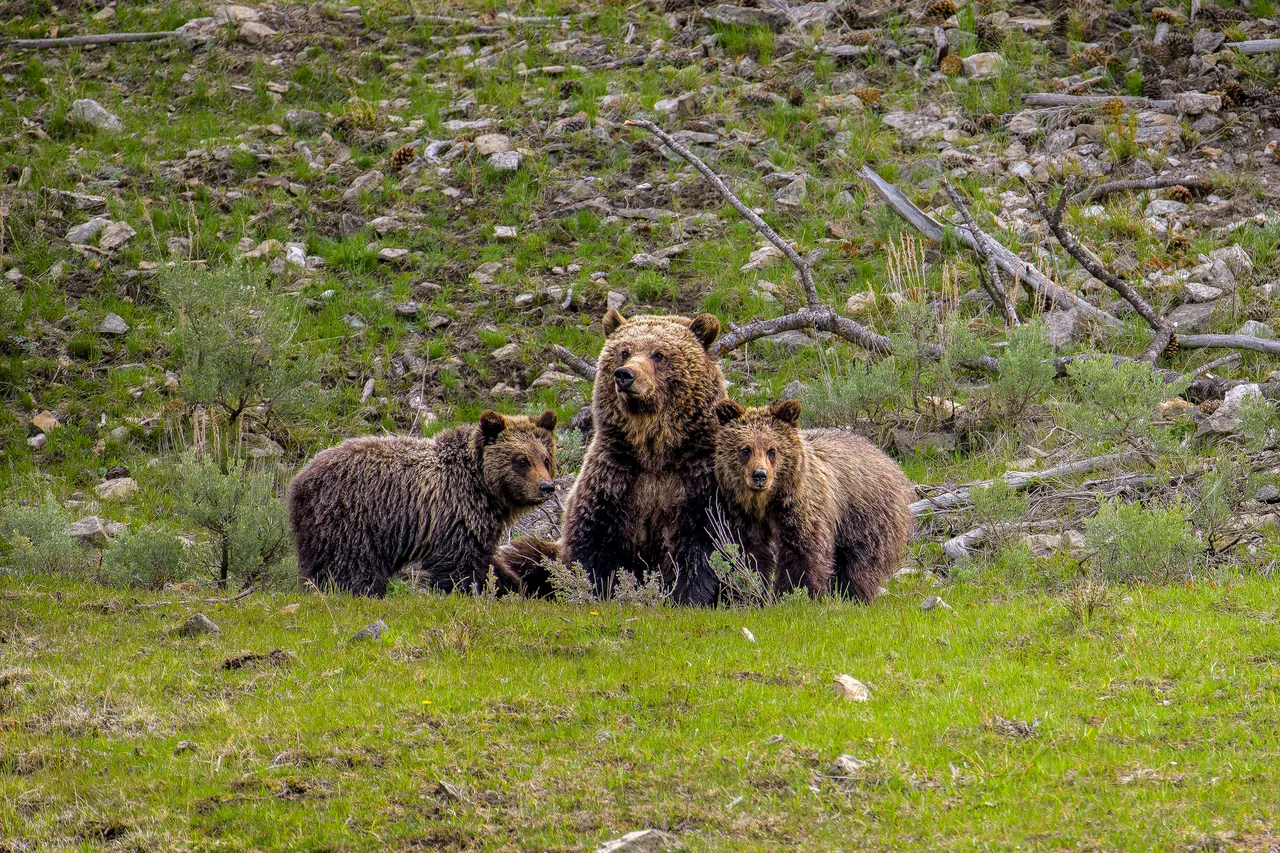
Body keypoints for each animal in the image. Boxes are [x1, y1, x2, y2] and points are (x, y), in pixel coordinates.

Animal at [287, 410, 558, 597]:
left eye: (545, 458)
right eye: (521, 460)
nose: (547, 487)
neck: (482, 487)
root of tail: (299, 479)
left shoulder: (480, 525)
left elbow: (488, 560)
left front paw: (516, 586)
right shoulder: (454, 514)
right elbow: (459, 565)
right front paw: (467, 590)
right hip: (351, 519)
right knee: (352, 565)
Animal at [553, 309, 728, 604]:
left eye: (659, 354)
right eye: (624, 351)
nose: (625, 375)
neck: (654, 451)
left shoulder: (697, 480)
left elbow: (698, 550)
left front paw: (684, 595)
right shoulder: (614, 477)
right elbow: (590, 544)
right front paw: (595, 589)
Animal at [713, 399, 914, 602]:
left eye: (772, 450)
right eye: (745, 449)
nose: (760, 475)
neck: (766, 502)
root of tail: (888, 459)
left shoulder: (801, 507)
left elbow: (803, 552)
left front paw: (795, 594)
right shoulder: (744, 515)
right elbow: (747, 552)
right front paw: (746, 594)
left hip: (866, 515)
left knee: (862, 560)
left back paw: (854, 594)